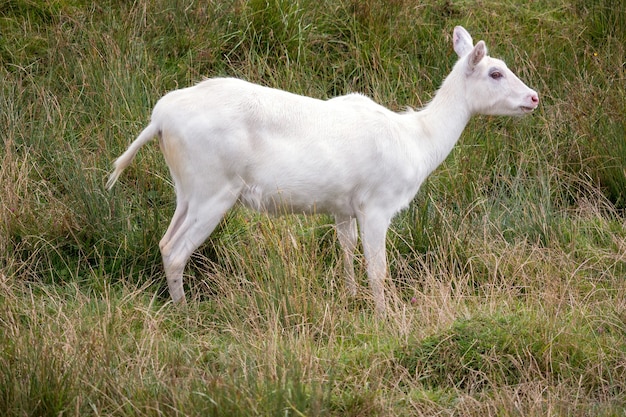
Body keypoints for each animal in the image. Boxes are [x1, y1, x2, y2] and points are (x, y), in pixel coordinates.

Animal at [107, 26, 536, 312]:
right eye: (495, 72)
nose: (534, 97)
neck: (417, 141)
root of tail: (159, 118)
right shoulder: (377, 205)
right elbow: (378, 269)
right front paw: (384, 316)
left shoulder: (343, 206)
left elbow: (346, 250)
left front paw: (350, 297)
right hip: (215, 189)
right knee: (176, 250)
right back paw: (185, 312)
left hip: (188, 189)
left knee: (164, 241)